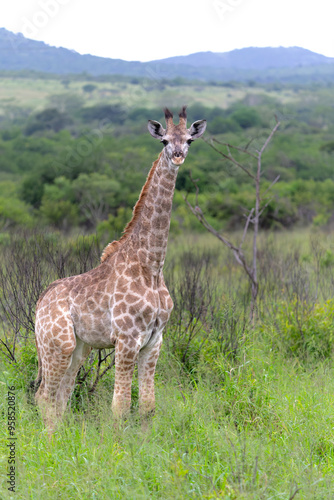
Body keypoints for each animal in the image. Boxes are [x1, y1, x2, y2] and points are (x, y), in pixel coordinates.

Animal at [34, 105, 206, 434]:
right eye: (164, 140)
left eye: (189, 139)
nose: (178, 155)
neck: (151, 265)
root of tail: (39, 302)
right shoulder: (126, 339)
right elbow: (121, 406)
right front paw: (117, 445)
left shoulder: (154, 341)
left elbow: (148, 406)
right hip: (57, 344)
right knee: (44, 397)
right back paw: (47, 444)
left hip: (80, 348)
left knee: (60, 397)